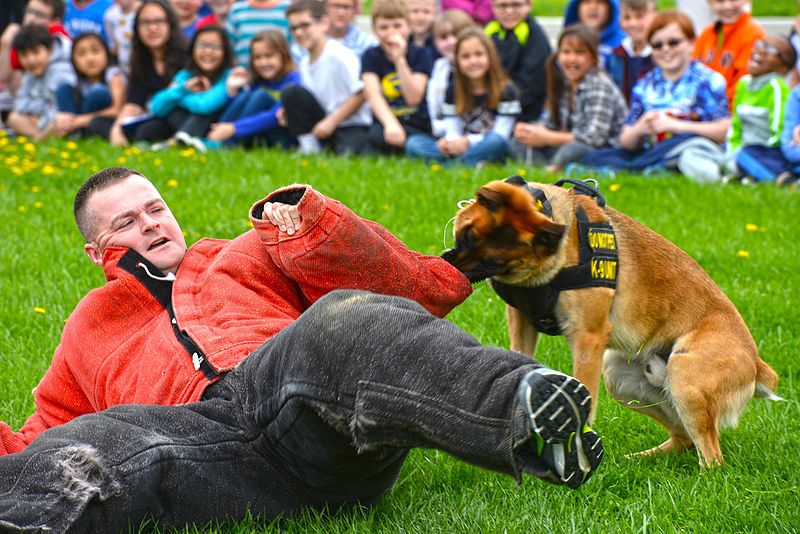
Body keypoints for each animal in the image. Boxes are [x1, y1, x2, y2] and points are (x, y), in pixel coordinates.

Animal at [440, 177, 780, 468]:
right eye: (467, 234)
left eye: (494, 261)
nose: (448, 265)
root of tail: (756, 362)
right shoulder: (522, 319)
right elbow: (521, 357)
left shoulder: (588, 340)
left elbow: (584, 404)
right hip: (621, 377)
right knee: (683, 438)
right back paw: (640, 460)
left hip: (684, 378)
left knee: (711, 457)